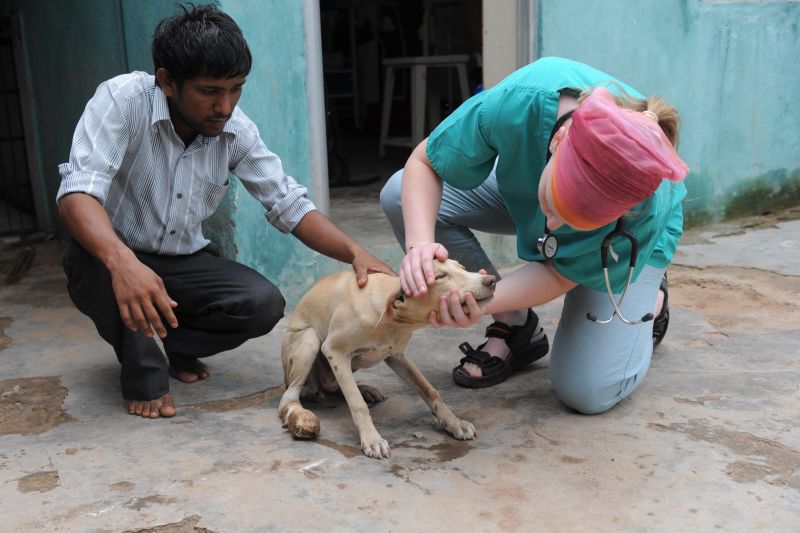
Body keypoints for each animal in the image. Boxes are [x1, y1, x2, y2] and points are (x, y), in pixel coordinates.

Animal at [278, 258, 496, 458]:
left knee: (333, 385)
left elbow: (430, 391)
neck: (393, 319)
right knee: (289, 398)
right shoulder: (334, 350)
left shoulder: (397, 356)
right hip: (309, 341)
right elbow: (357, 404)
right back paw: (301, 416)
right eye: (441, 276)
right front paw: (372, 440)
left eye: (463, 268)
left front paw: (454, 422)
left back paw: (365, 389)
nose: (491, 280)